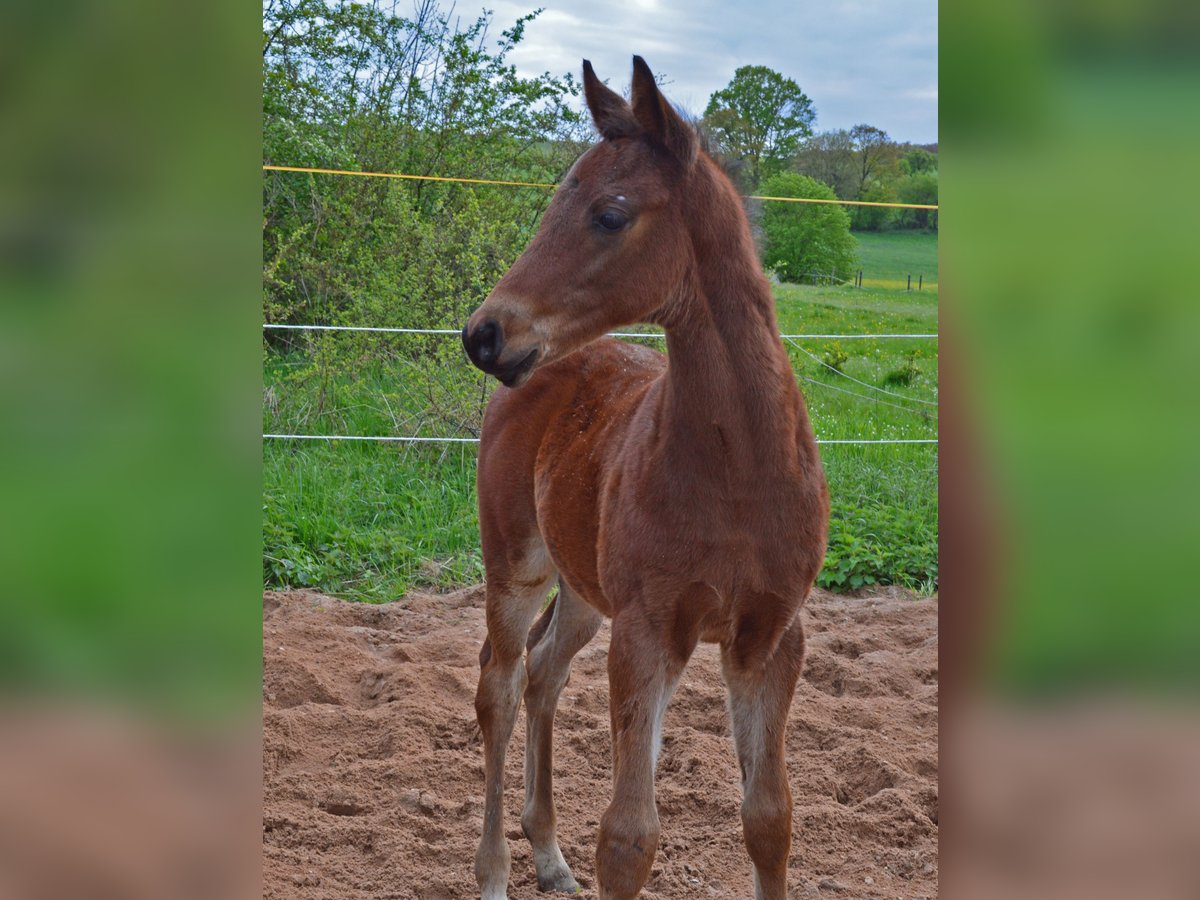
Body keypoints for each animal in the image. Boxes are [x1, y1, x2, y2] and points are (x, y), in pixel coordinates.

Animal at [456, 58, 825, 900]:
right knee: (499, 684)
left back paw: (548, 854)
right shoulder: (648, 632)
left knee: (544, 672)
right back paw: (495, 872)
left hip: (584, 589)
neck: (739, 474)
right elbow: (628, 839)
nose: (485, 334)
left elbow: (771, 819)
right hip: (518, 563)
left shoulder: (769, 637)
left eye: (610, 215)